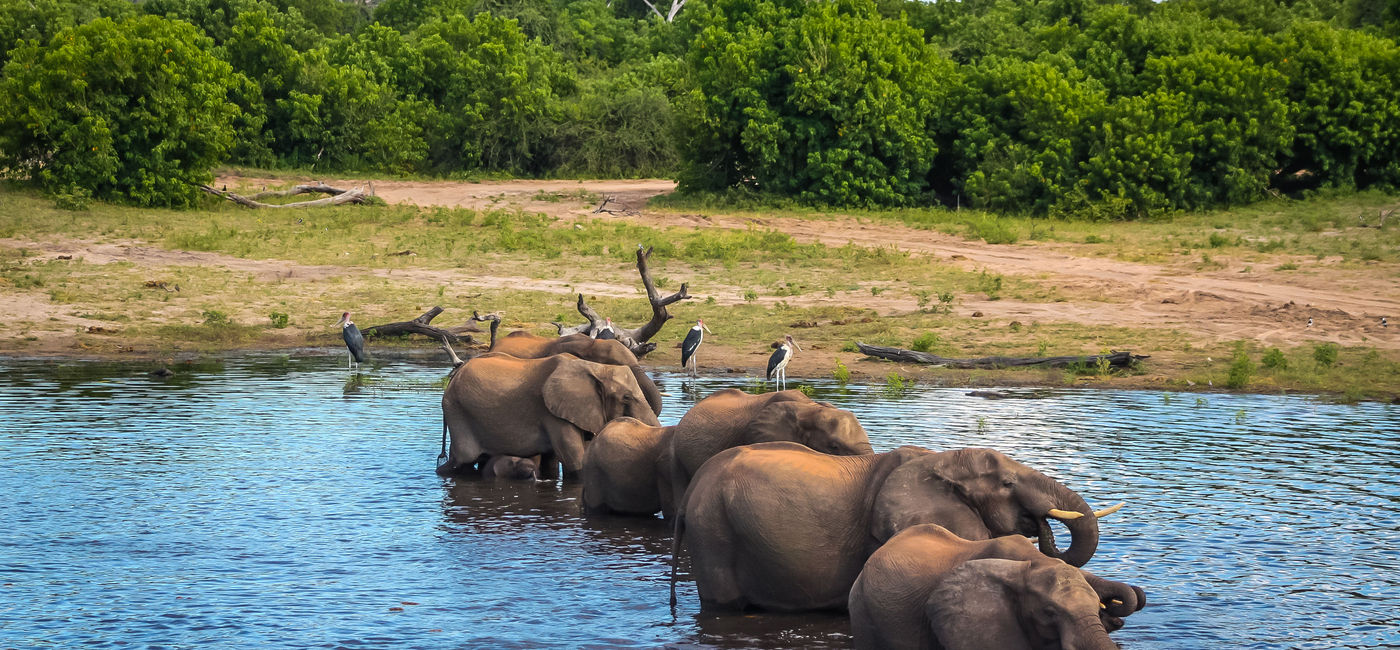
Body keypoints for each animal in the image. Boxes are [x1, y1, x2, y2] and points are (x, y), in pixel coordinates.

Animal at [438, 352, 660, 478]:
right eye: (626, 398)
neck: (595, 367)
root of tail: (453, 378)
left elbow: (553, 461)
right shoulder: (551, 412)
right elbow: (575, 460)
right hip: (458, 411)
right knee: (462, 461)